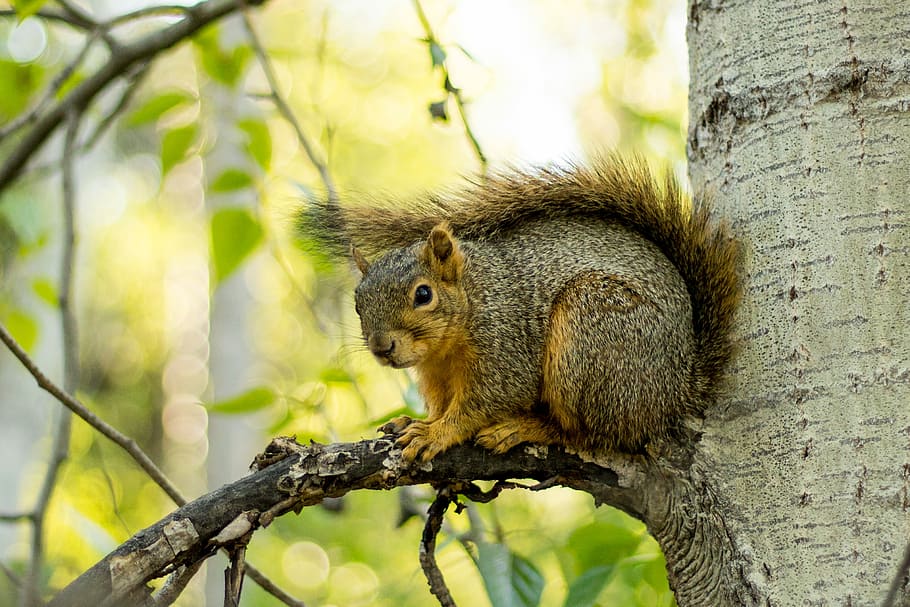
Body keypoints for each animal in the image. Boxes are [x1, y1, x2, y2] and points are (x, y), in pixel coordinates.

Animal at [299, 157, 740, 463]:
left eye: (423, 295)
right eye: (358, 304)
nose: (381, 347)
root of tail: (677, 390)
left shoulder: (506, 352)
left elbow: (482, 404)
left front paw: (436, 433)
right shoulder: (436, 377)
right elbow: (441, 405)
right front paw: (420, 421)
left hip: (591, 337)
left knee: (587, 434)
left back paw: (523, 428)